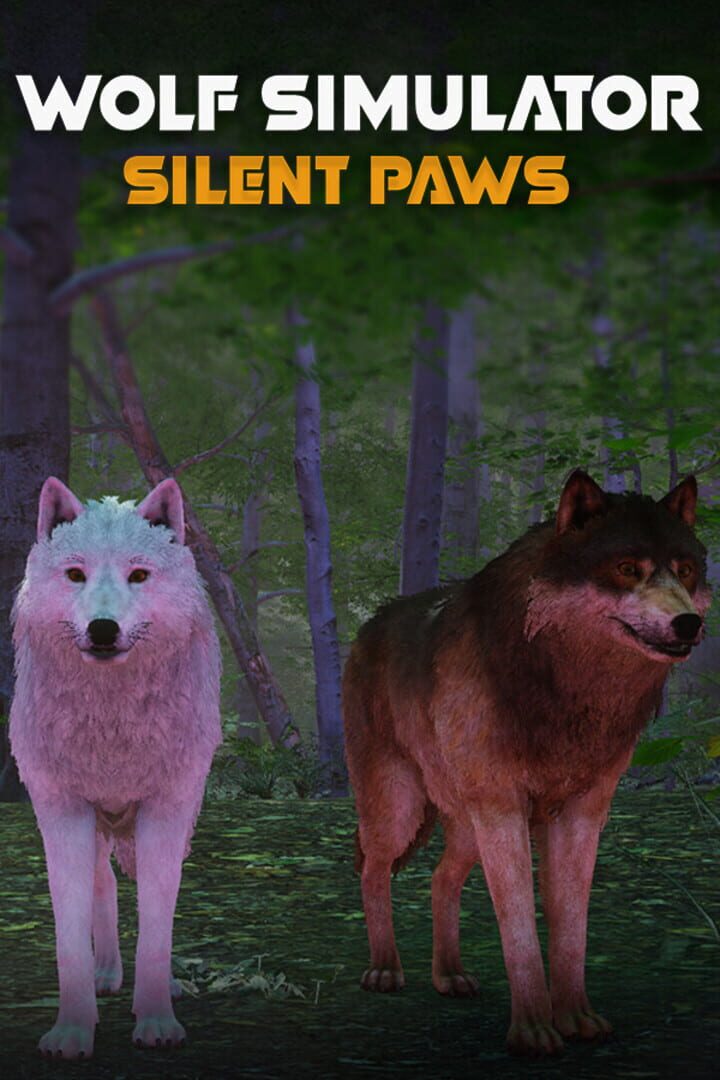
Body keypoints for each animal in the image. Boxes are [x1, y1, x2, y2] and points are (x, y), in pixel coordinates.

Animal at [9, 476, 222, 1059]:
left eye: (138, 575)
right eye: (75, 574)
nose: (103, 629)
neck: (112, 724)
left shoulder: (166, 810)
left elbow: (157, 919)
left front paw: (157, 1020)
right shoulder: (61, 810)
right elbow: (69, 929)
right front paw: (72, 1031)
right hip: (95, 825)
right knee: (102, 884)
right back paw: (106, 974)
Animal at [343, 471, 710, 1056]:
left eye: (686, 570)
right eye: (627, 569)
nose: (688, 622)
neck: (564, 692)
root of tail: (371, 623)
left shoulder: (583, 815)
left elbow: (570, 927)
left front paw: (577, 1017)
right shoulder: (502, 810)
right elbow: (518, 926)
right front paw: (535, 1029)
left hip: (465, 826)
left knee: (440, 879)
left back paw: (449, 974)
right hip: (401, 813)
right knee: (372, 871)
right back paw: (384, 969)